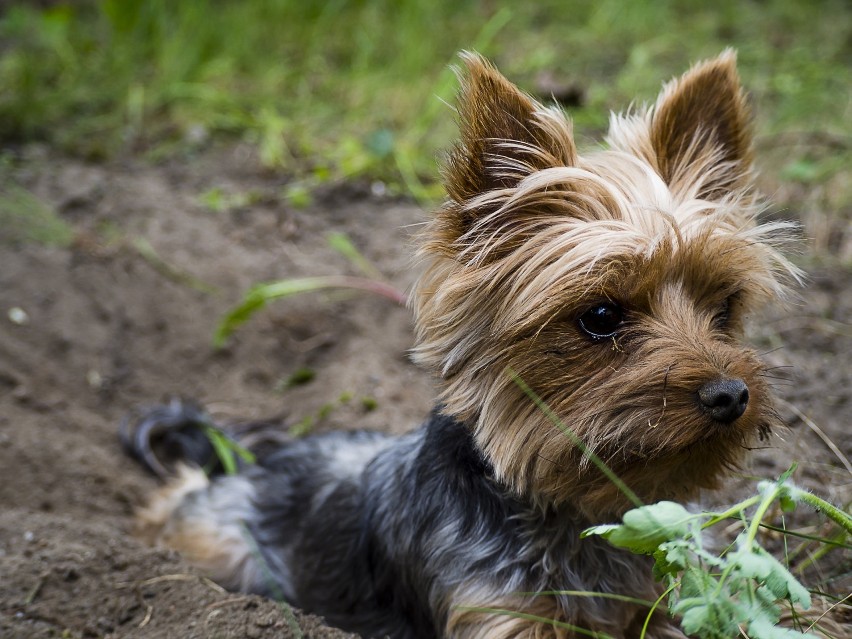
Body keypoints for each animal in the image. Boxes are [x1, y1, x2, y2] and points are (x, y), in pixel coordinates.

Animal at [123, 51, 804, 639]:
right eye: (601, 316)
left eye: (724, 307)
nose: (731, 394)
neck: (578, 517)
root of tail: (247, 461)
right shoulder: (496, 613)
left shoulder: (662, 602)